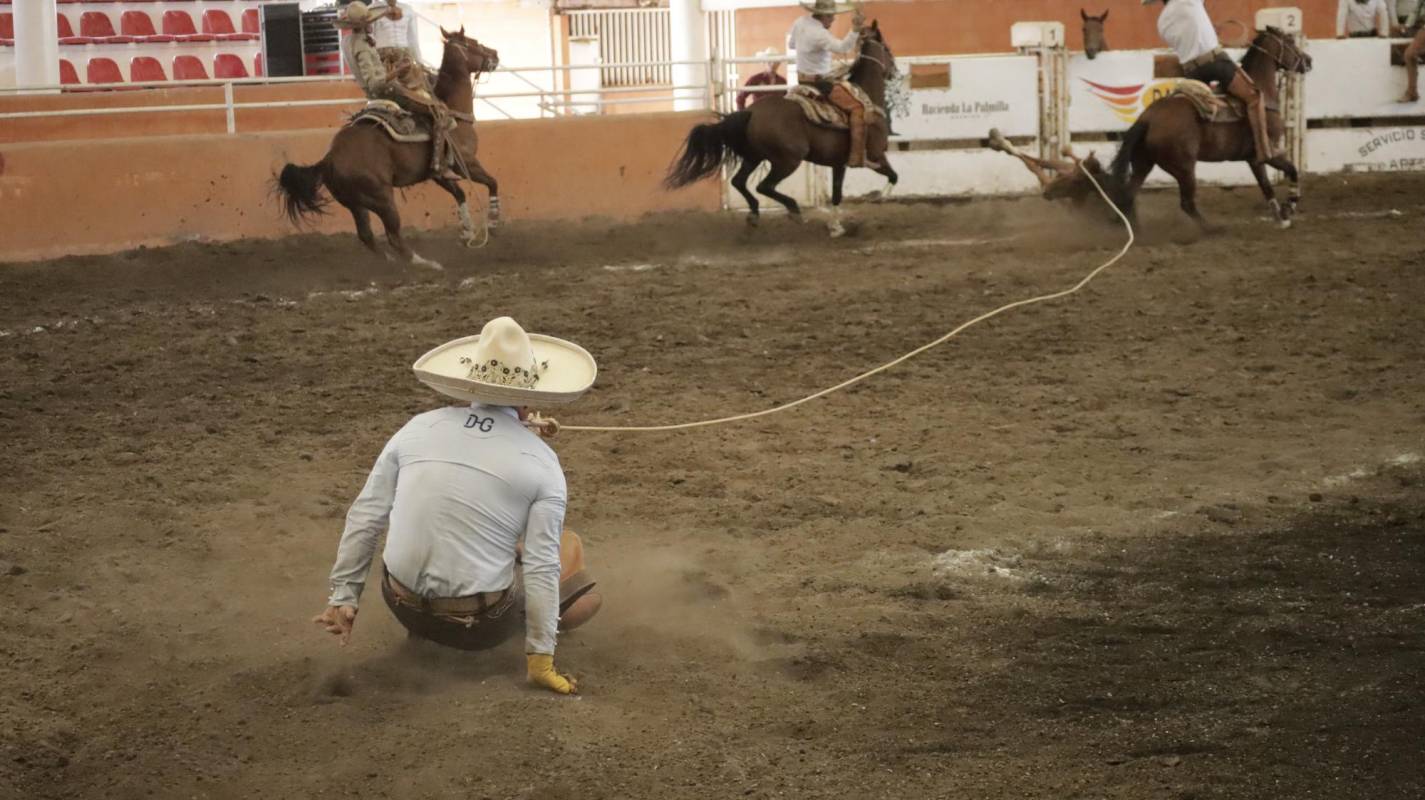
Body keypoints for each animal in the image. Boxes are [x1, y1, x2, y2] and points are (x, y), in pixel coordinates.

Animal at [275, 26, 504, 269]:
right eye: (473, 42)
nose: (495, 54)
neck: (452, 110)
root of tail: (329, 159)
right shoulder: (466, 163)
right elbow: (492, 182)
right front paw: (493, 222)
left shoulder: (439, 173)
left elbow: (459, 193)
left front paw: (467, 231)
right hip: (382, 200)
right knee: (393, 235)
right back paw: (424, 263)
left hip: (355, 204)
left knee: (366, 236)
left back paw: (391, 262)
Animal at [661, 20, 894, 235]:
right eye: (887, 49)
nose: (894, 70)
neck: (866, 97)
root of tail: (751, 112)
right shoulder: (876, 155)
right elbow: (893, 176)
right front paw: (881, 197)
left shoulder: (839, 164)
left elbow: (837, 194)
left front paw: (835, 226)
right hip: (787, 160)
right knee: (764, 186)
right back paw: (793, 210)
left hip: (754, 157)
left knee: (739, 181)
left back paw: (754, 213)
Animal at [1105, 25, 1305, 231]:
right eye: (1290, 41)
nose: (1308, 61)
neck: (1263, 95)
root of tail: (1148, 118)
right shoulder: (1269, 152)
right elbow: (1292, 170)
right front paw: (1289, 207)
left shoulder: (1253, 159)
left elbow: (1266, 187)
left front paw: (1280, 216)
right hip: (1184, 168)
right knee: (1186, 203)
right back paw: (1212, 229)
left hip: (1143, 163)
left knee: (1128, 195)